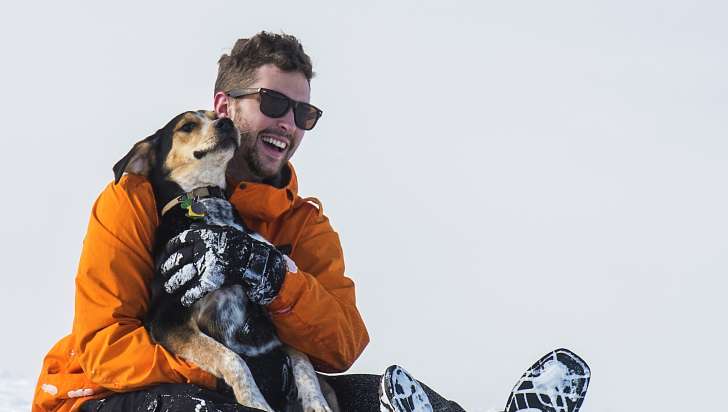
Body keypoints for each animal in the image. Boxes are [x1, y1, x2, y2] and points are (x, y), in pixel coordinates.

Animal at [111, 110, 338, 412]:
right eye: (187, 126)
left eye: (215, 115)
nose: (226, 122)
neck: (205, 202)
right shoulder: (167, 319)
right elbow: (233, 359)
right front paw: (255, 402)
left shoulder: (273, 327)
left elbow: (304, 362)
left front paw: (315, 402)